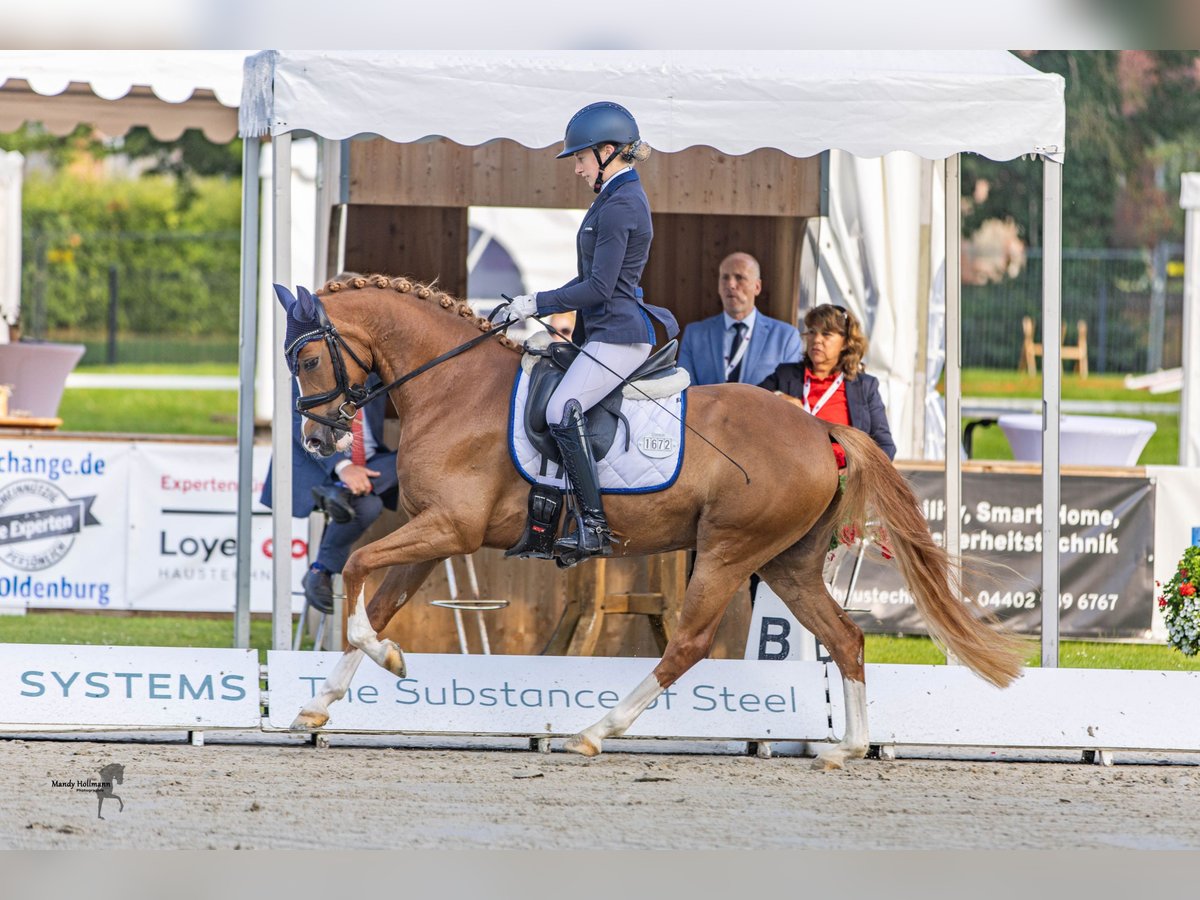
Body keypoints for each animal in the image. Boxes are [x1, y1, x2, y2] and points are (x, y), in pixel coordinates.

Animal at [280, 274, 1022, 768]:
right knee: (845, 637)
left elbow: (357, 568)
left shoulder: (450, 529)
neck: (454, 387)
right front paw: (319, 704)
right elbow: (377, 603)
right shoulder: (438, 535)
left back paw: (596, 730)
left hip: (728, 550)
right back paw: (849, 747)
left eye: (308, 358)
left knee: (688, 644)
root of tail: (820, 430)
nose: (316, 443)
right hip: (786, 561)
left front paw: (390, 661)